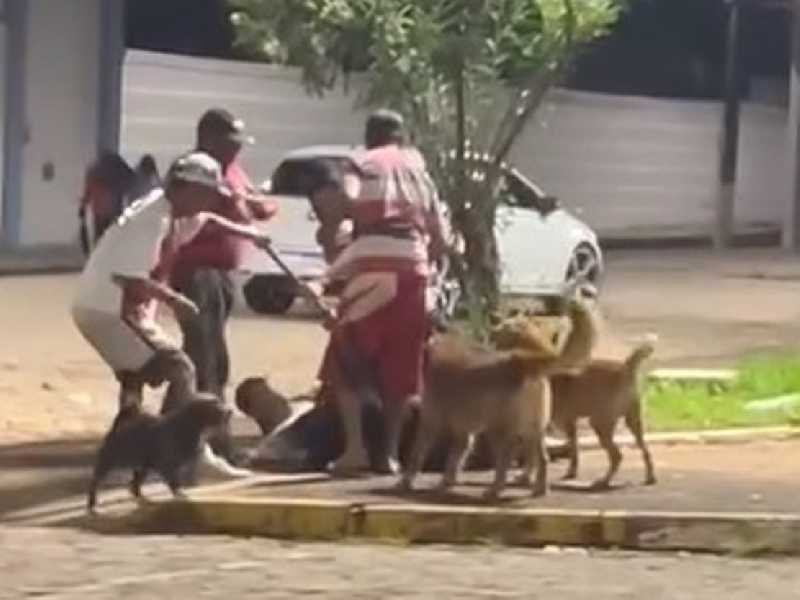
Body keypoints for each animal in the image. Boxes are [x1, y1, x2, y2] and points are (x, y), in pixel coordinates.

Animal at [88, 396, 231, 512]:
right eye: (214, 404)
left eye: (219, 401)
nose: (229, 411)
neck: (188, 425)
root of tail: (117, 427)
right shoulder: (167, 464)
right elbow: (173, 480)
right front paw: (179, 493)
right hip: (109, 461)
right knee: (96, 481)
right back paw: (92, 502)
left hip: (144, 466)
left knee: (134, 484)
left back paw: (141, 497)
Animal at [400, 298, 600, 502]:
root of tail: (520, 362)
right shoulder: (464, 431)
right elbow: (454, 460)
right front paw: (446, 482)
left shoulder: (431, 422)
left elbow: (417, 455)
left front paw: (406, 481)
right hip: (533, 431)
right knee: (542, 459)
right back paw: (539, 490)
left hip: (498, 431)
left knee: (504, 462)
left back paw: (494, 490)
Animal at [552, 336, 656, 490]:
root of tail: (625, 368)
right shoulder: (569, 423)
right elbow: (574, 450)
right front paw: (571, 472)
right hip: (633, 423)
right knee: (645, 451)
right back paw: (650, 477)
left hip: (600, 424)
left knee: (617, 456)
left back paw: (604, 481)